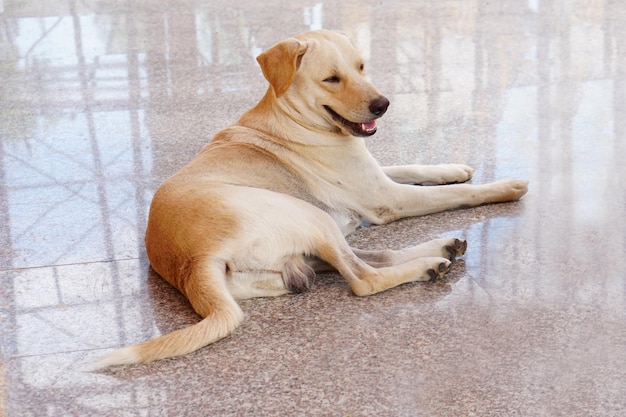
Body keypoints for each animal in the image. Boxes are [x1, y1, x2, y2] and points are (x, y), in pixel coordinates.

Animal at [92, 29, 528, 368]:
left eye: (362, 67)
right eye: (331, 79)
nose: (383, 105)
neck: (294, 117)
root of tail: (192, 264)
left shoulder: (376, 177)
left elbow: (412, 166)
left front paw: (452, 167)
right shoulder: (386, 198)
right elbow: (458, 194)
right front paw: (502, 187)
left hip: (302, 251)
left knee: (373, 257)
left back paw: (441, 249)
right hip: (307, 215)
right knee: (363, 278)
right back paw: (427, 265)